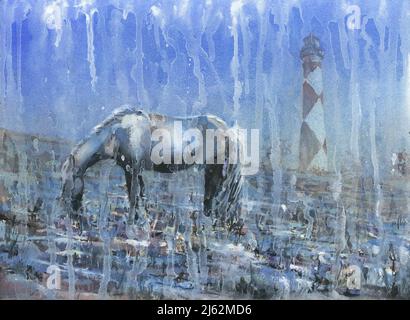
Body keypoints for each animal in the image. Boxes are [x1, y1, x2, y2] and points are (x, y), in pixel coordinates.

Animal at [59, 106, 242, 231]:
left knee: (215, 199)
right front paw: (142, 220)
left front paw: (131, 223)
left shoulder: (132, 168)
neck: (117, 132)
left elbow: (133, 196)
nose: (70, 216)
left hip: (215, 171)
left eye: (69, 181)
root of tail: (227, 130)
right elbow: (140, 195)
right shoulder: (133, 170)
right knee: (212, 200)